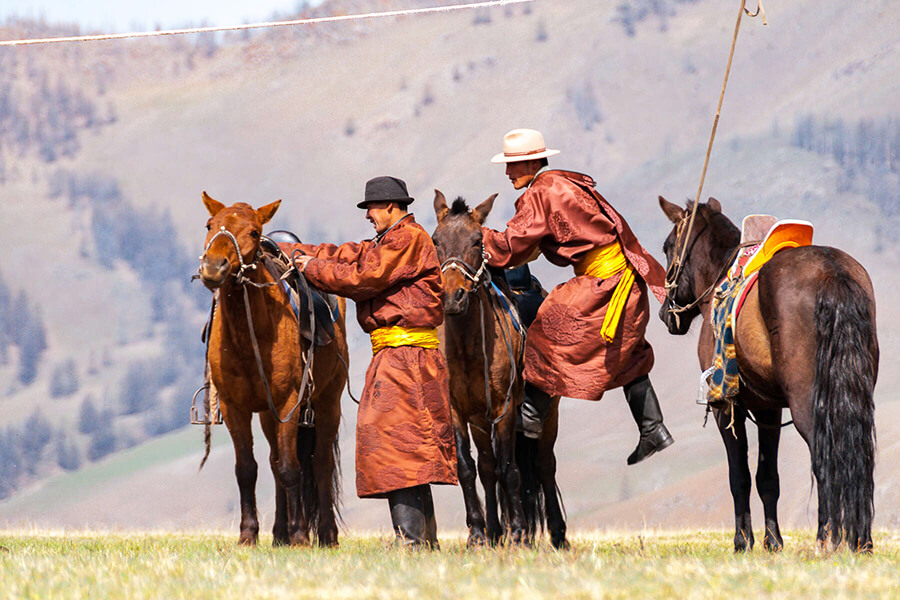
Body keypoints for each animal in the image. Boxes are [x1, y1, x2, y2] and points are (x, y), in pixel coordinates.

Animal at [197, 193, 348, 548]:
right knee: (274, 461)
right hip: (268, 415)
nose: (213, 267)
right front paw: (248, 534)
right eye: (210, 225)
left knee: (319, 463)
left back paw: (325, 535)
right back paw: (279, 533)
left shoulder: (288, 403)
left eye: (253, 232)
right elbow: (247, 469)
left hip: (327, 403)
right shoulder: (235, 408)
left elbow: (292, 468)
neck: (249, 337)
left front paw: (300, 536)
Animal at [432, 191, 568, 548]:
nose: (452, 297)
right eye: (436, 240)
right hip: (480, 422)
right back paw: (494, 531)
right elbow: (469, 468)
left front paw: (519, 532)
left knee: (544, 465)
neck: (468, 347)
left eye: (477, 240)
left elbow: (511, 469)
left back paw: (558, 534)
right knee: (487, 467)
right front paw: (478, 533)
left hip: (548, 414)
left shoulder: (504, 410)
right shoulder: (458, 411)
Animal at [656, 197, 876, 552]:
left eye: (667, 246)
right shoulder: (768, 409)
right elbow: (767, 478)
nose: (667, 314)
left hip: (807, 404)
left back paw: (826, 539)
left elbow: (740, 478)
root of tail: (833, 272)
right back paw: (861, 541)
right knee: (860, 455)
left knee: (825, 456)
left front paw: (742, 541)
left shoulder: (725, 406)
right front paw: (773, 541)